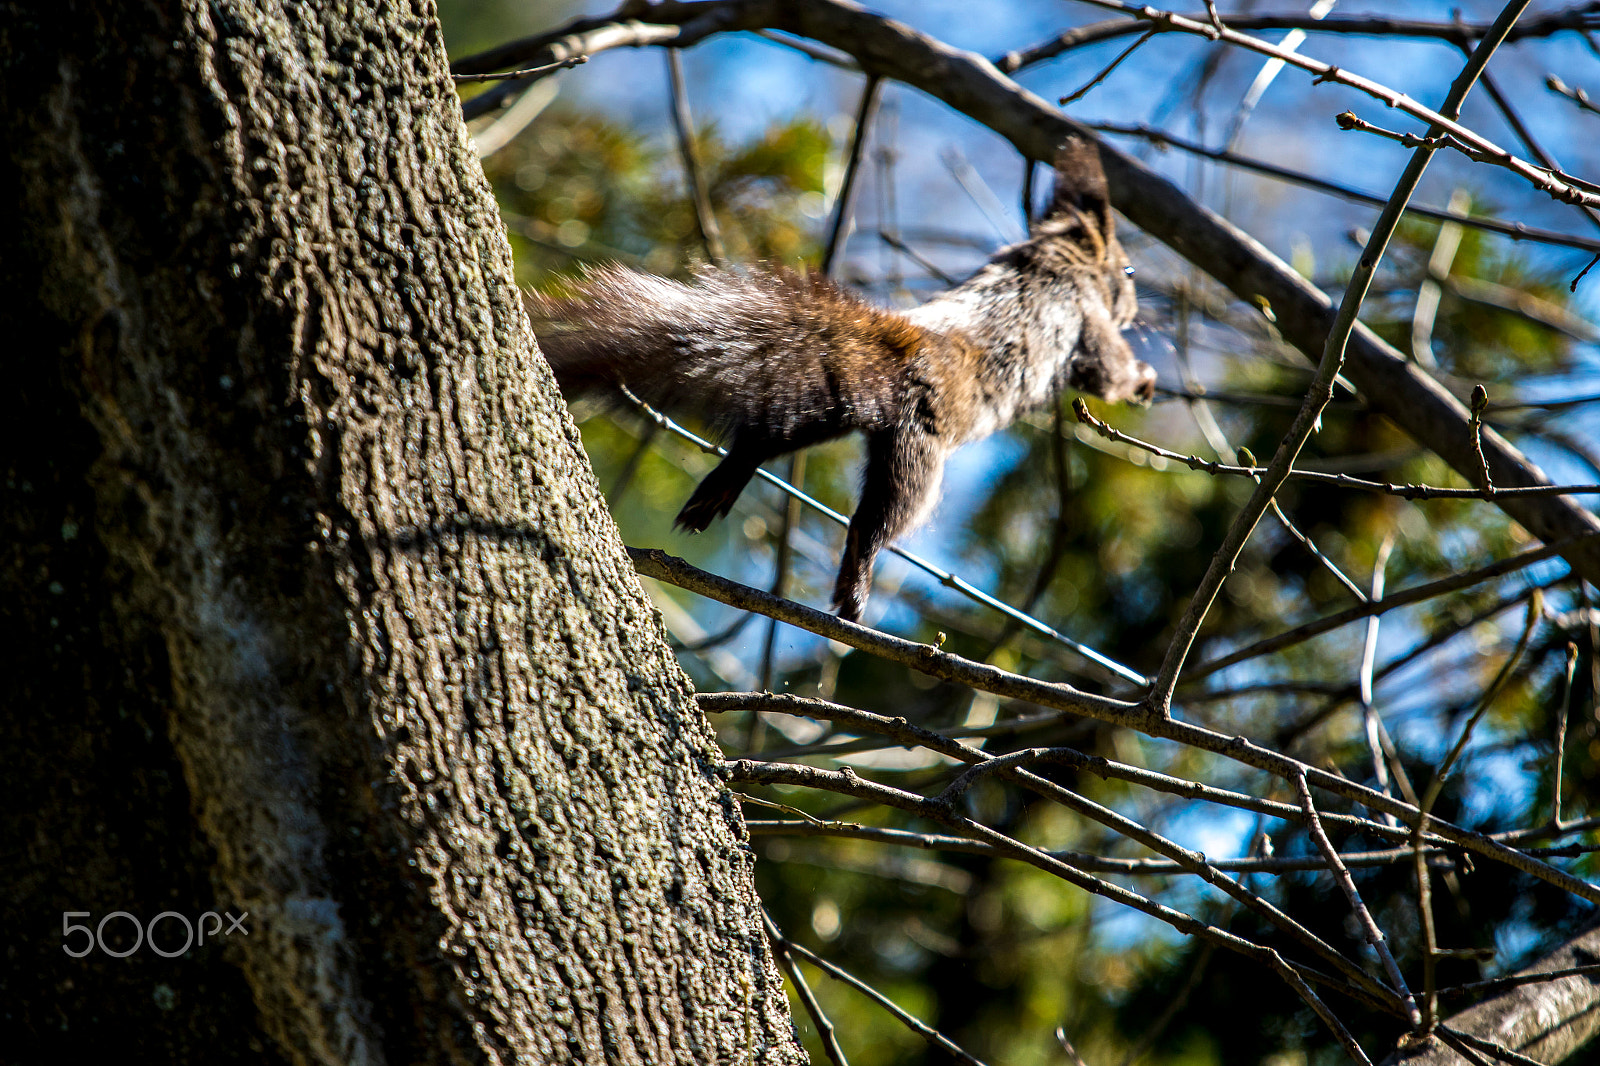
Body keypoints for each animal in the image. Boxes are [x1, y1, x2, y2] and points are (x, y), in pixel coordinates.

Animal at [528, 137, 1155, 623]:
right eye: (1127, 270)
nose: (1137, 309)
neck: (1049, 259)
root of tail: (900, 348)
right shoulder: (1087, 321)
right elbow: (1106, 370)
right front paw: (1143, 379)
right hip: (914, 454)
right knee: (873, 522)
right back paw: (854, 590)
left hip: (833, 402)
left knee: (770, 436)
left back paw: (719, 489)